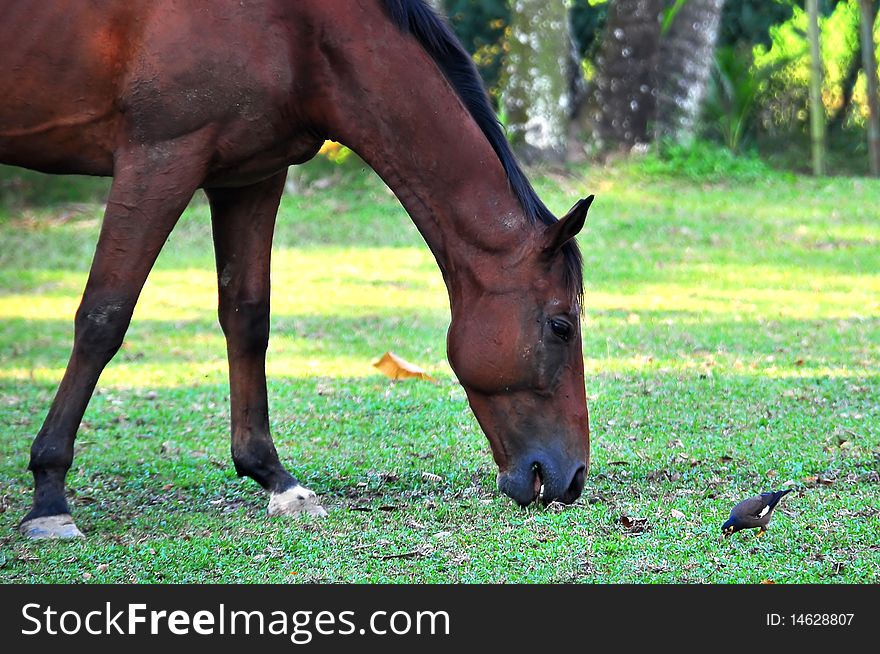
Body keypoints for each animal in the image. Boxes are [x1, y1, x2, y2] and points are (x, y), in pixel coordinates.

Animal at [1, 0, 592, 540]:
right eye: (560, 327)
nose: (574, 478)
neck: (297, 33)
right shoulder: (158, 161)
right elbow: (103, 318)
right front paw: (49, 496)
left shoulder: (250, 176)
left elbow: (247, 319)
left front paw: (273, 477)